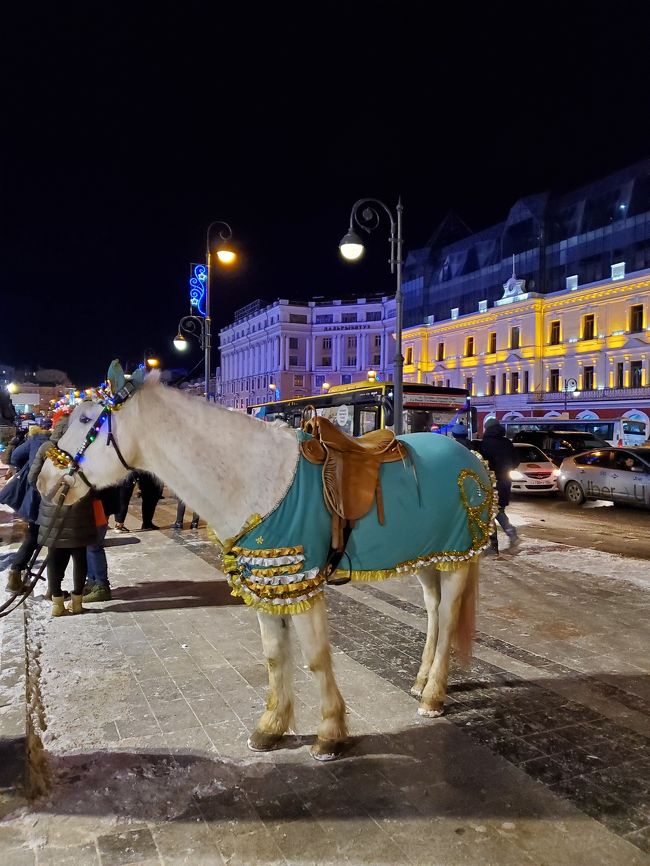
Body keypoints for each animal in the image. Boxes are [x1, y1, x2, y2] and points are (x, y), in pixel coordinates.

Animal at [38, 364, 494, 756]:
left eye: (85, 420)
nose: (41, 481)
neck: (257, 479)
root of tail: (470, 458)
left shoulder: (302, 583)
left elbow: (316, 657)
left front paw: (330, 733)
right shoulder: (268, 583)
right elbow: (275, 656)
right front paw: (272, 727)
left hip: (456, 558)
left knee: (448, 618)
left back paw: (433, 695)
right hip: (429, 558)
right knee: (433, 611)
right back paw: (420, 681)